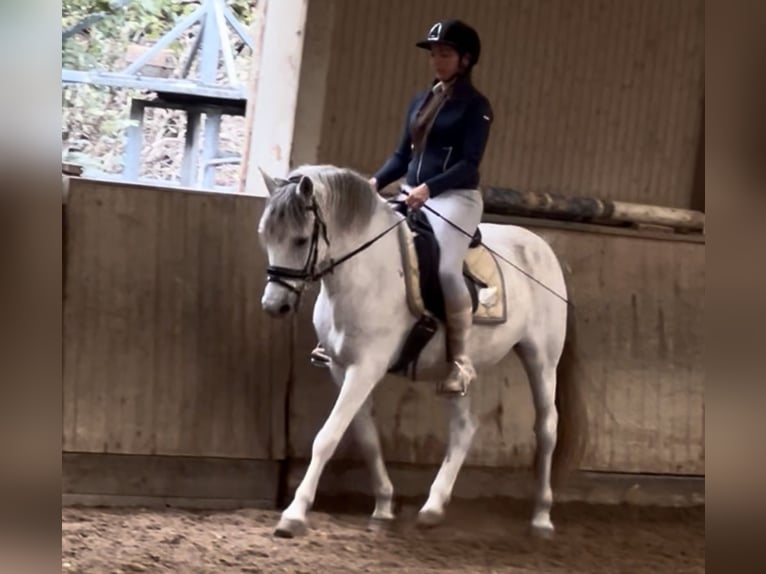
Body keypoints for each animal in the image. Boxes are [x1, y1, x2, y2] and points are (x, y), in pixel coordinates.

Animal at [256, 163, 588, 539]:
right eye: (266, 236)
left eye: (300, 239)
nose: (275, 306)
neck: (366, 272)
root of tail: (543, 248)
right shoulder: (341, 368)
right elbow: (366, 437)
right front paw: (384, 506)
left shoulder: (366, 367)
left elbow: (327, 437)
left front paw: (293, 515)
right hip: (454, 369)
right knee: (464, 428)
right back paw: (432, 508)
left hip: (542, 359)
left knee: (547, 429)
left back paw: (541, 518)